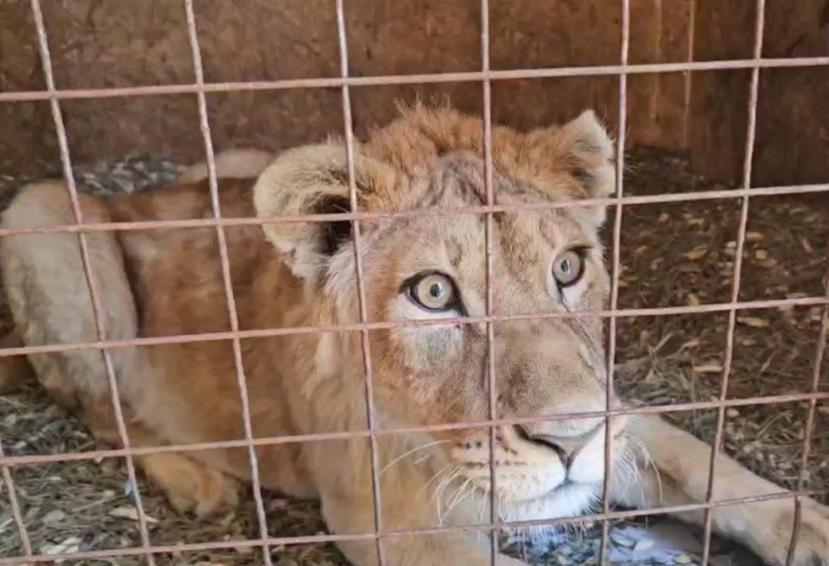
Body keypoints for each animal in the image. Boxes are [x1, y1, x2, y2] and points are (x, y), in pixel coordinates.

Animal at [1, 107, 828, 566]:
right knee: (101, 407)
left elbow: (702, 463)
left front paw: (806, 524)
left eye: (567, 267)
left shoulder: (610, 411)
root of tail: (131, 196)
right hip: (46, 221)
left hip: (236, 160)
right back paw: (195, 481)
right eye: (433, 292)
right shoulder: (383, 523)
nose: (568, 442)